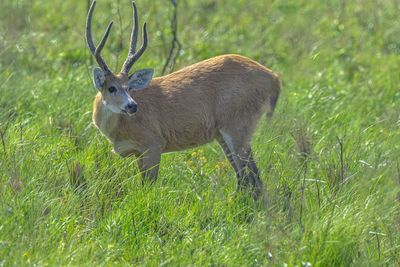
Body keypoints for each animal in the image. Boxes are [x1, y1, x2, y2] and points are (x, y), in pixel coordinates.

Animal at [86, 0, 282, 199]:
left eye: (129, 87)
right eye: (111, 88)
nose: (132, 106)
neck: (119, 128)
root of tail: (273, 77)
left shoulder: (153, 145)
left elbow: (149, 187)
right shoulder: (138, 153)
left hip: (237, 126)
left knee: (251, 178)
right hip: (222, 135)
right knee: (246, 178)